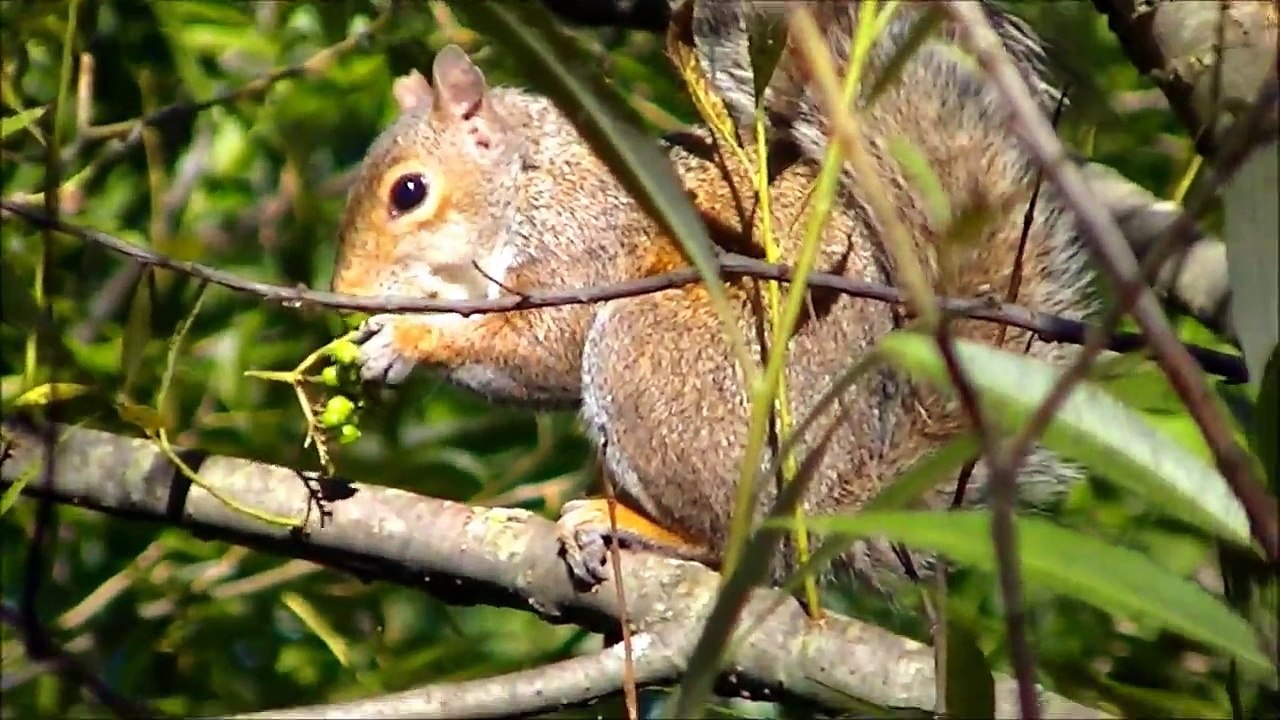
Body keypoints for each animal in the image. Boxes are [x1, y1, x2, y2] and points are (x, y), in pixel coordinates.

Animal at [329, 1, 1219, 590]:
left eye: (408, 192)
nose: (342, 295)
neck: (529, 177)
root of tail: (830, 500)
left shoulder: (587, 240)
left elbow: (542, 345)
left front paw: (406, 341)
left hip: (651, 351)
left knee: (725, 539)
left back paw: (631, 526)